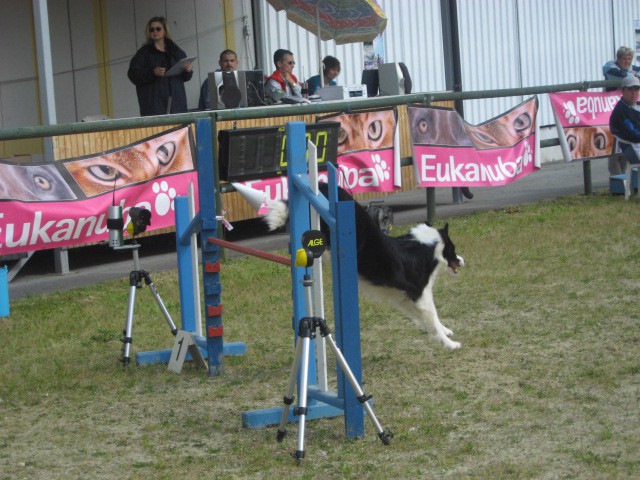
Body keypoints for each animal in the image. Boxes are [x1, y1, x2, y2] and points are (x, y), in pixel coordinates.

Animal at [264, 183, 464, 348]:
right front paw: (450, 343)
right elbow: (433, 315)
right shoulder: (420, 293)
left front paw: (445, 331)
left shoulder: (403, 297)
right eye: (453, 249)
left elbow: (427, 319)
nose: (463, 260)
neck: (426, 247)